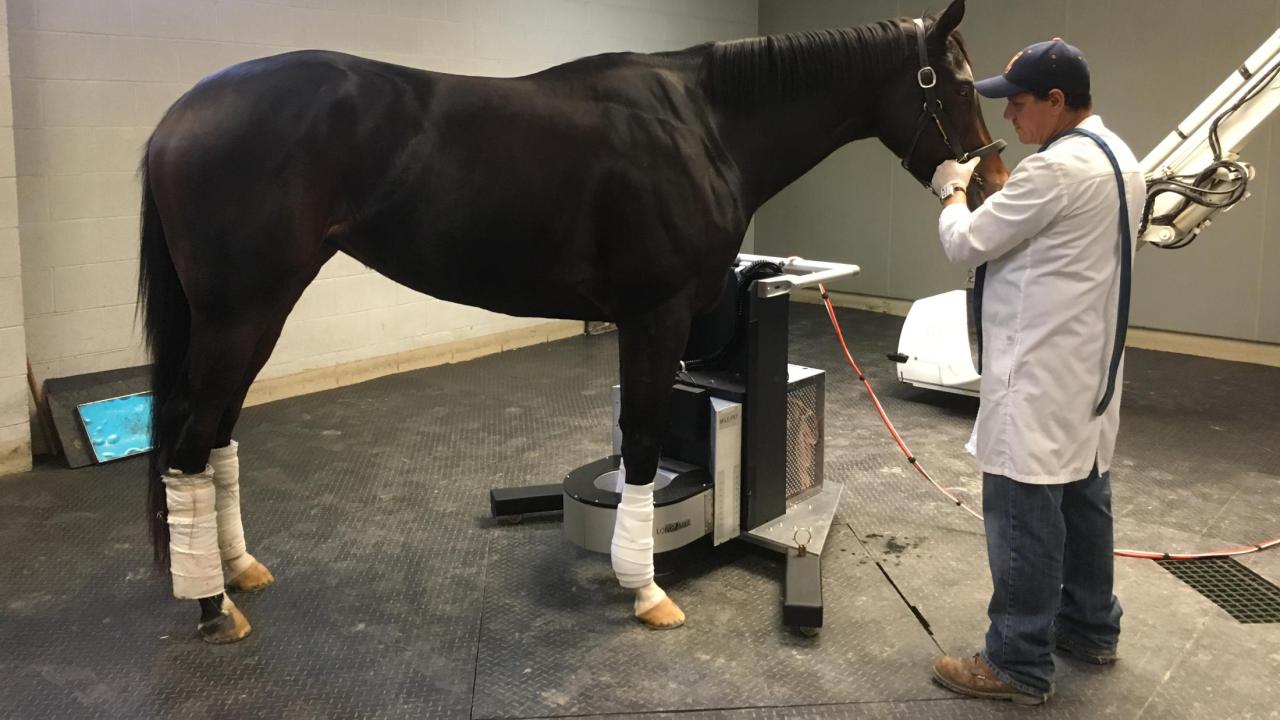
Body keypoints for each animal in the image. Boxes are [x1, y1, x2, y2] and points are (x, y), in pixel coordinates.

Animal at [137, 0, 998, 638]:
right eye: (956, 88)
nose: (990, 186)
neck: (702, 125)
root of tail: (179, 117)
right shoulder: (655, 315)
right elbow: (643, 444)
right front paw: (645, 588)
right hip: (238, 315)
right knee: (186, 448)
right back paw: (213, 606)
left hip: (259, 314)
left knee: (217, 438)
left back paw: (238, 571)